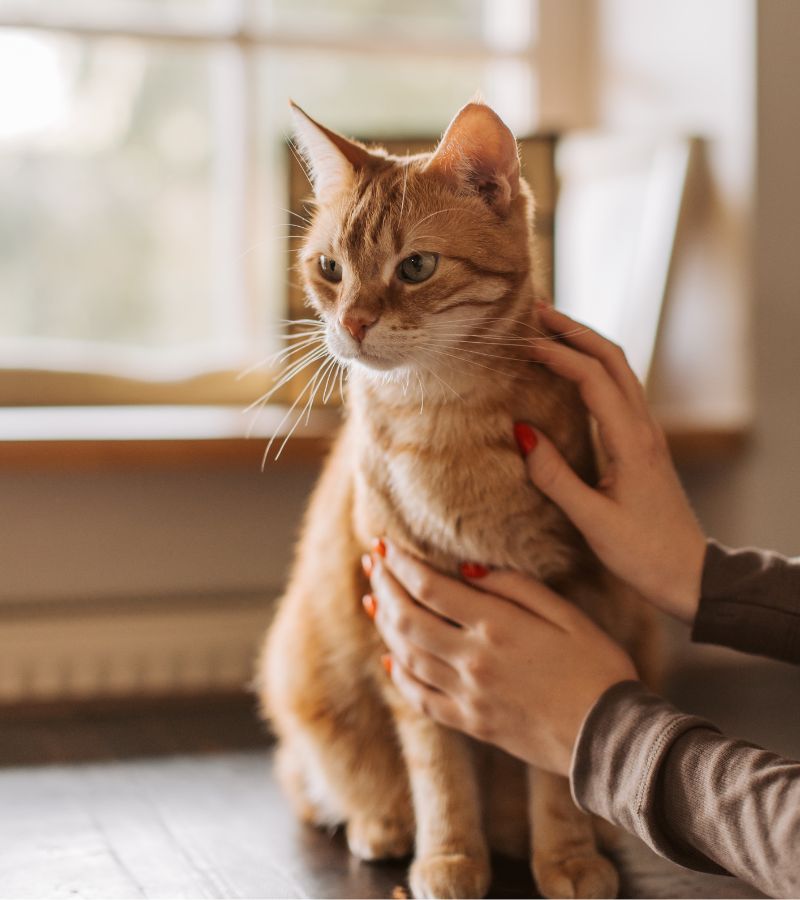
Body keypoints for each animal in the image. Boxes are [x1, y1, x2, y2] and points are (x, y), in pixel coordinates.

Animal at [258, 100, 664, 900]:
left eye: (415, 267)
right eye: (330, 269)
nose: (351, 322)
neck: (439, 419)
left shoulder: (567, 599)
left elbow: (554, 763)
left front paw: (566, 855)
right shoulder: (402, 617)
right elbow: (438, 766)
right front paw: (447, 857)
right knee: (314, 778)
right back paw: (382, 823)